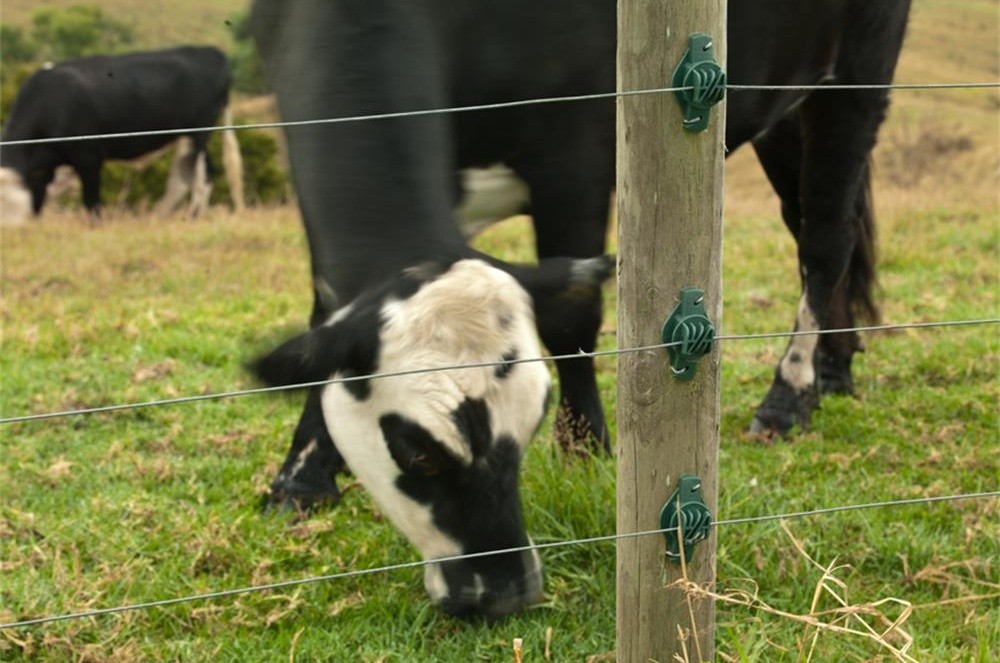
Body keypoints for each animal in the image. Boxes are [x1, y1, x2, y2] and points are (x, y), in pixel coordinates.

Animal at [0, 45, 244, 220]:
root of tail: (211, 52)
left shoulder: (88, 157)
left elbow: (91, 201)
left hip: (196, 133)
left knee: (194, 177)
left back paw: (180, 216)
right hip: (190, 135)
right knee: (193, 175)